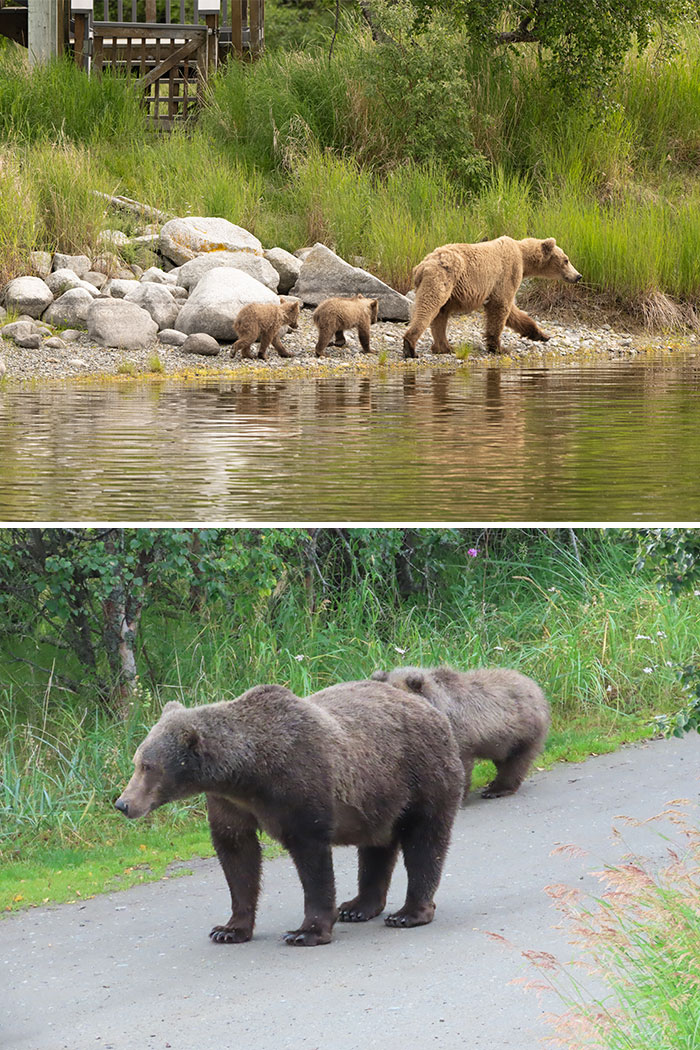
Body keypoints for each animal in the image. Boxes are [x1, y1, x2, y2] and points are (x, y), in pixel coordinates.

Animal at [114, 679, 463, 947]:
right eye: (137, 761)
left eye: (148, 766)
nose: (123, 803)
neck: (247, 775)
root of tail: (431, 710)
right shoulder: (229, 804)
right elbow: (237, 856)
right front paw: (229, 929)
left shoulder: (300, 788)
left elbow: (312, 861)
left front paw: (306, 932)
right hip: (378, 795)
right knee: (377, 845)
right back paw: (358, 907)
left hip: (422, 774)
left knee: (425, 840)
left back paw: (409, 912)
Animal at [371, 665, 550, 803]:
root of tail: (536, 687)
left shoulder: (458, 734)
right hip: (503, 740)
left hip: (523, 732)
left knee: (516, 762)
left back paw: (497, 789)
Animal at [402, 236, 582, 357]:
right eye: (566, 260)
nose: (578, 276)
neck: (523, 258)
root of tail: (421, 266)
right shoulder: (508, 273)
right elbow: (501, 307)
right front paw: (499, 348)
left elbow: (514, 313)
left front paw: (542, 335)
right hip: (441, 279)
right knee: (429, 306)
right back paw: (410, 346)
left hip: (446, 288)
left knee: (440, 314)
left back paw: (445, 347)